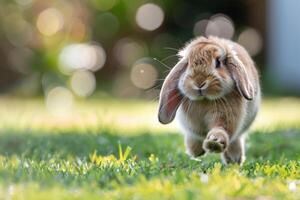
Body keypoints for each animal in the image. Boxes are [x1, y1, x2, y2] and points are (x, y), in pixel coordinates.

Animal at [157, 36, 260, 164]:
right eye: (188, 64)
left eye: (218, 62)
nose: (199, 82)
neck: (205, 100)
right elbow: (196, 135)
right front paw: (199, 150)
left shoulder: (226, 117)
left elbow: (220, 129)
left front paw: (214, 142)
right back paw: (196, 151)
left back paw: (234, 159)